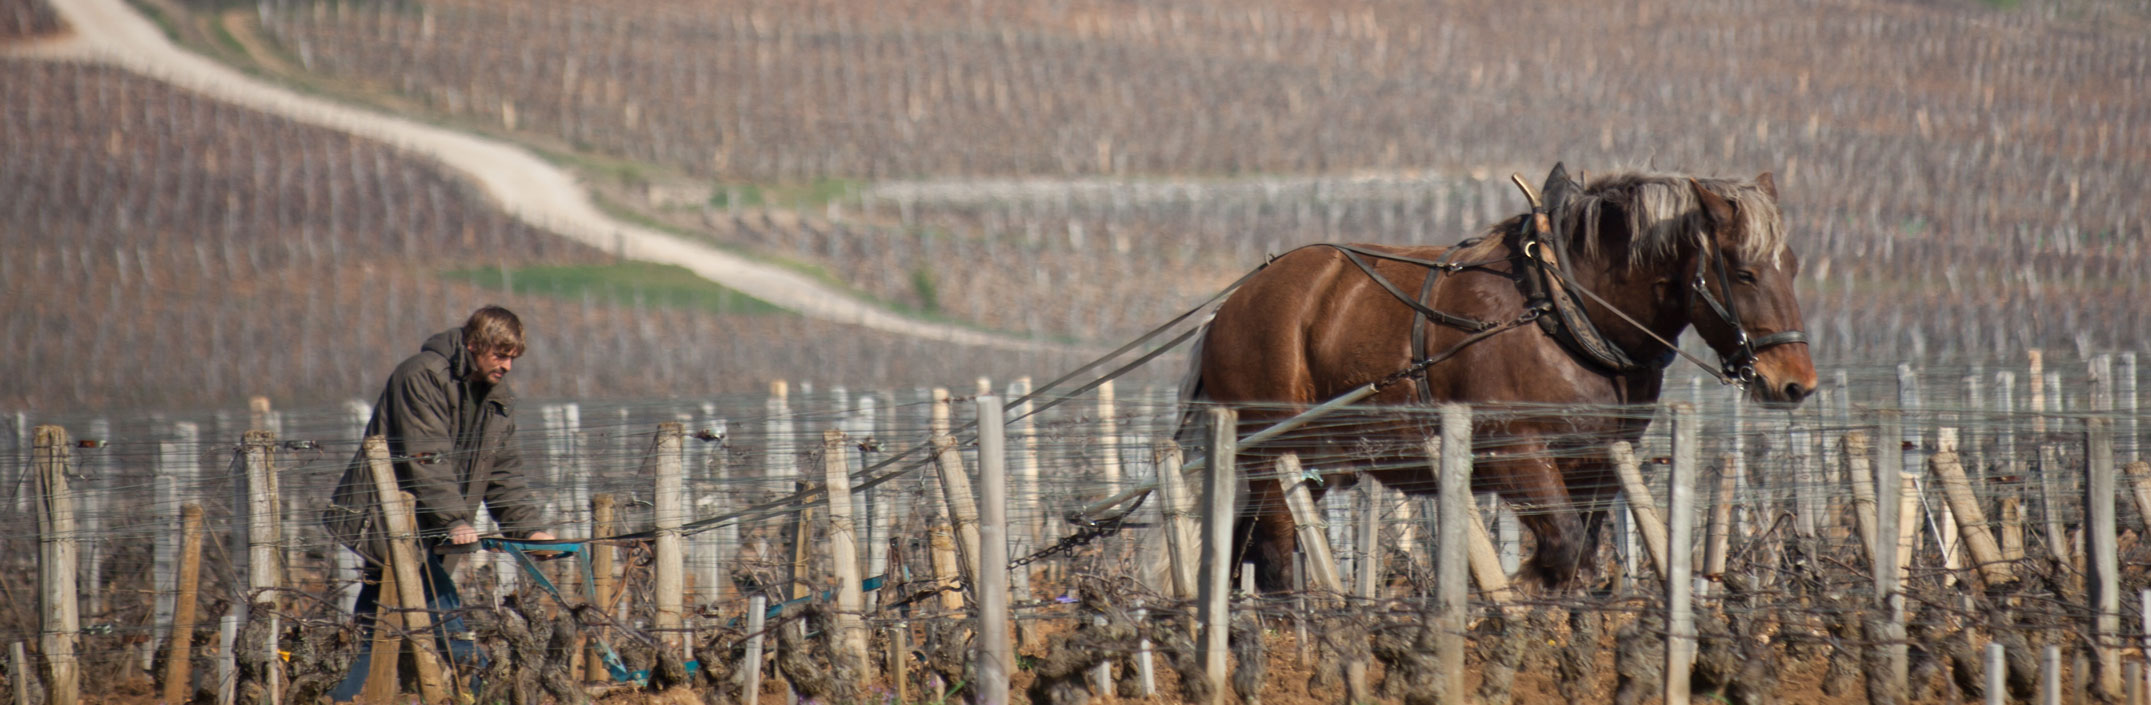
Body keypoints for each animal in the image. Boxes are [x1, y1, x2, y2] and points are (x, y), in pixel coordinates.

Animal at [1187, 165, 1824, 588]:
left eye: (1793, 266)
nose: (1795, 383)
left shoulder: (1597, 463)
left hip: (1311, 462)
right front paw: (1508, 596)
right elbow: (1563, 547)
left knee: (1246, 545)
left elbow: (1579, 557)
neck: (1566, 309)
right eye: (1743, 272)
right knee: (1273, 553)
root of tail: (1233, 304)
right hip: (1273, 451)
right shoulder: (1515, 453)